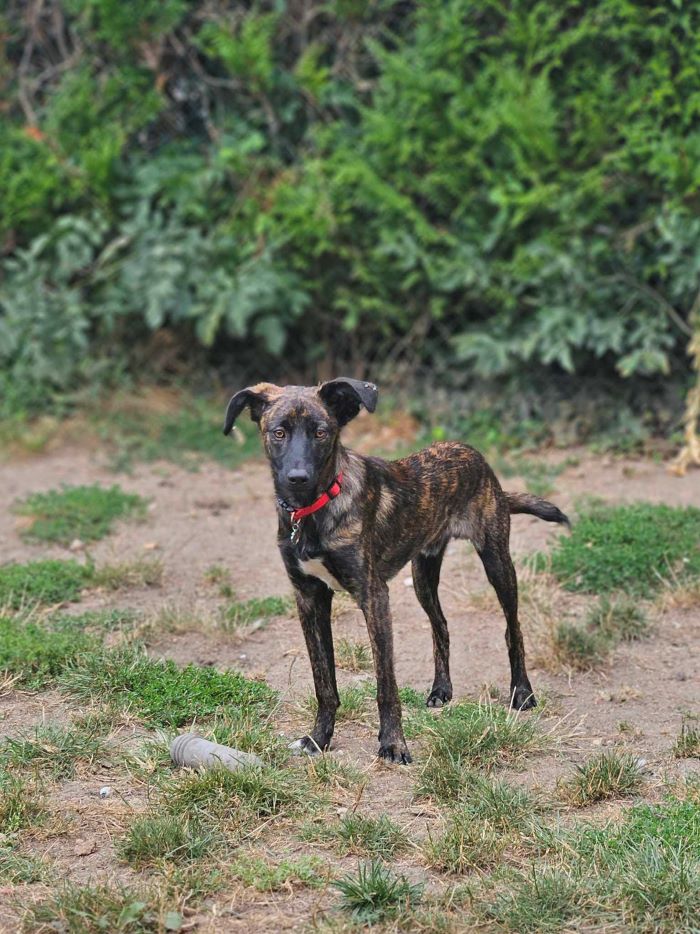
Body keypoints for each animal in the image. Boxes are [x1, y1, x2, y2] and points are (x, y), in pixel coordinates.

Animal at [224, 376, 568, 764]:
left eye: (321, 433)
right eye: (279, 432)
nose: (298, 478)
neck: (313, 512)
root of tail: (471, 453)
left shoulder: (374, 596)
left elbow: (385, 685)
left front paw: (393, 744)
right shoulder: (309, 598)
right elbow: (323, 680)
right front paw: (318, 738)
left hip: (497, 562)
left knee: (513, 628)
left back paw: (522, 692)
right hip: (423, 575)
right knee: (441, 625)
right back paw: (441, 689)